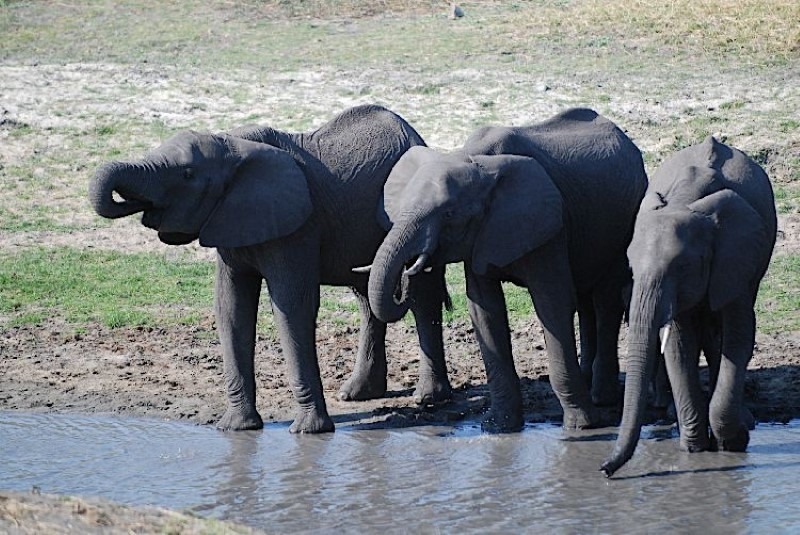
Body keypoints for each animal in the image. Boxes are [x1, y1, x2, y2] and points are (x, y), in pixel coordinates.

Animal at [89, 104, 451, 433]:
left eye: (187, 175)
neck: (233, 146)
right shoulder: (232, 221)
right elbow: (231, 306)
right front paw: (236, 428)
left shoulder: (297, 226)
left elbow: (291, 306)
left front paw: (309, 431)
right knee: (366, 297)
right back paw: (357, 394)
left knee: (421, 296)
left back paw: (429, 398)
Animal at [364, 108, 648, 431]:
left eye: (449, 215)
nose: (408, 274)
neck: (474, 161)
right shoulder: (483, 234)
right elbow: (485, 311)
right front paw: (499, 427)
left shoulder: (546, 224)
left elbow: (552, 304)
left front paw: (582, 426)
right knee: (587, 298)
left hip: (626, 221)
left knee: (606, 300)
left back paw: (602, 397)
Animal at [600, 136, 777, 477]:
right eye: (631, 266)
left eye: (682, 266)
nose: (603, 469)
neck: (686, 201)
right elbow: (680, 346)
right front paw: (695, 449)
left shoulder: (734, 257)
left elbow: (738, 338)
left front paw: (733, 440)